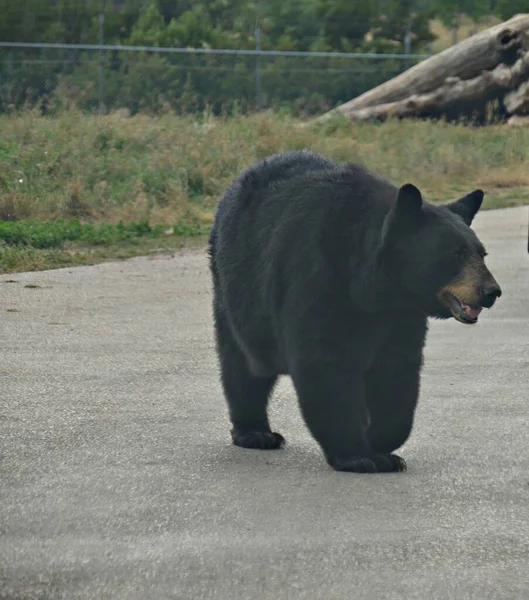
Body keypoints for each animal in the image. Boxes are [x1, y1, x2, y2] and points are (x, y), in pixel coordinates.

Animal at [207, 150, 500, 474]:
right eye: (455, 253)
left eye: (481, 253)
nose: (491, 291)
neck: (372, 289)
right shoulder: (317, 278)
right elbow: (325, 363)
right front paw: (357, 455)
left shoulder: (400, 316)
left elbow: (395, 371)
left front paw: (381, 444)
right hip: (235, 295)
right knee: (244, 366)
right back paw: (255, 433)